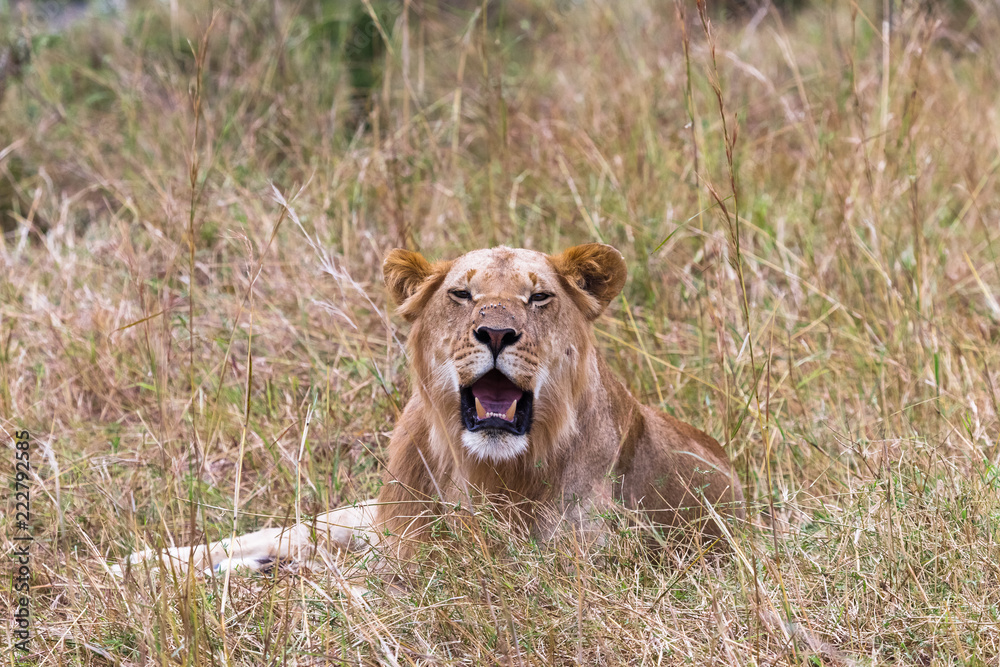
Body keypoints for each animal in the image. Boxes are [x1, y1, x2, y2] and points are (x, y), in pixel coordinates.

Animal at [114, 244, 744, 576]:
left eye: (539, 297)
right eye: (461, 295)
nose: (497, 332)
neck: (483, 469)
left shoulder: (555, 566)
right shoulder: (402, 532)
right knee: (294, 529)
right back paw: (141, 564)